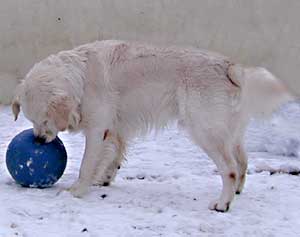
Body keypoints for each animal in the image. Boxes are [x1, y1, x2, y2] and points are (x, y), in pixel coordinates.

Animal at [12, 39, 292, 212]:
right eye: (32, 121)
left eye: (43, 120)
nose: (38, 140)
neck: (80, 77)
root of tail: (231, 67)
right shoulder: (115, 128)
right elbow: (113, 157)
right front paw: (104, 179)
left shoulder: (97, 129)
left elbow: (86, 164)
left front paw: (77, 191)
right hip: (229, 133)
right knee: (243, 161)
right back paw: (237, 192)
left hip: (205, 132)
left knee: (230, 169)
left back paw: (222, 203)